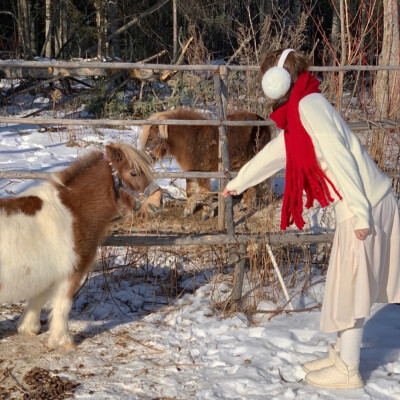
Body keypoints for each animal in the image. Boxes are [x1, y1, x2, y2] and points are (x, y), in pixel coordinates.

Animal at [0, 142, 162, 348]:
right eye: (134, 173)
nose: (159, 201)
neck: (72, 212)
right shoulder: (72, 273)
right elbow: (63, 305)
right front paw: (63, 340)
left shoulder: (48, 273)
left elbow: (39, 298)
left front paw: (28, 328)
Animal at [141, 108, 272, 220]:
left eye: (151, 138)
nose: (144, 157)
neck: (191, 139)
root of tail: (261, 120)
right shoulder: (191, 172)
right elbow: (190, 191)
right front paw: (188, 211)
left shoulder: (202, 172)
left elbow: (204, 192)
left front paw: (206, 213)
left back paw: (245, 203)